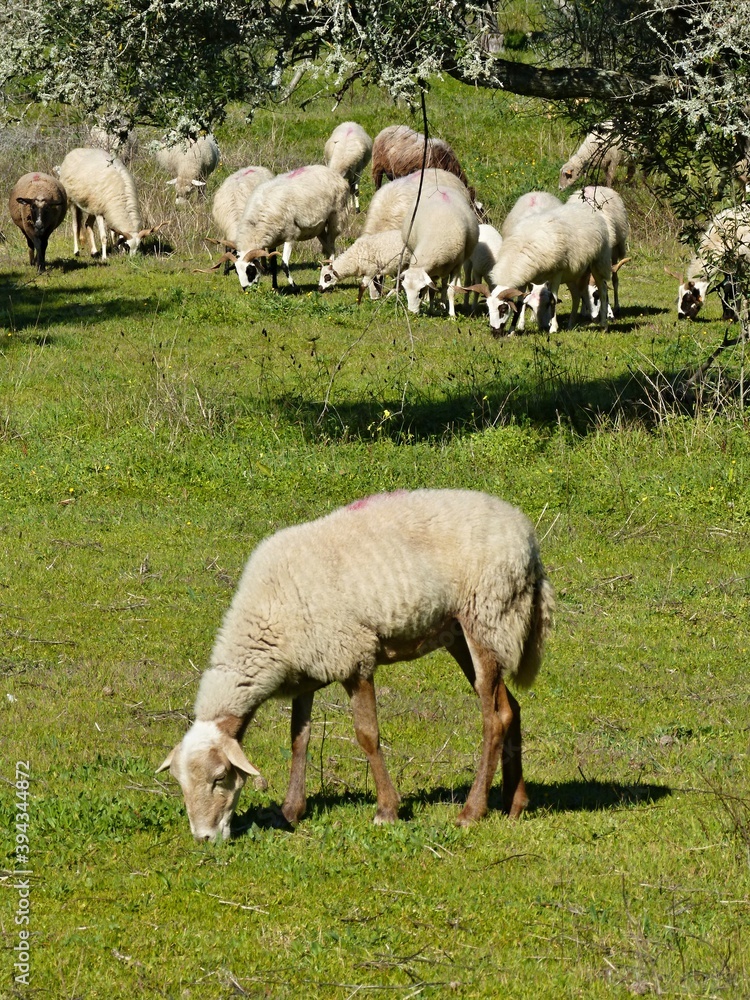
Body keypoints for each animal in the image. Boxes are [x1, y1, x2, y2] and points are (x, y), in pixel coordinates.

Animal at [156, 488, 555, 841]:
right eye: (180, 783)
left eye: (219, 777)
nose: (204, 838)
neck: (266, 620)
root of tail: (527, 535)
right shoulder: (307, 670)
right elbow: (299, 738)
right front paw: (291, 810)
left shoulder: (353, 657)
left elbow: (367, 735)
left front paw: (387, 810)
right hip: (463, 631)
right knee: (511, 708)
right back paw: (514, 803)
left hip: (488, 615)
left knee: (494, 718)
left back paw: (472, 811)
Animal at [399, 184, 480, 317]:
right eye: (405, 290)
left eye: (420, 292)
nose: (412, 313)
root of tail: (441, 186)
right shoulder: (433, 271)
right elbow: (432, 291)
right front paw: (431, 309)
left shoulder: (456, 266)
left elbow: (450, 291)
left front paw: (452, 315)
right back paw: (441, 305)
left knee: (445, 285)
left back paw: (443, 305)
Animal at [469, 201, 612, 335]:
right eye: (488, 308)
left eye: (503, 309)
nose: (495, 332)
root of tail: (588, 210)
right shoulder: (524, 279)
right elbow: (520, 304)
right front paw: (512, 331)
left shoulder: (557, 273)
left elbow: (553, 300)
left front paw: (553, 329)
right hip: (573, 273)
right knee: (577, 295)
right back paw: (571, 324)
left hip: (599, 262)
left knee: (603, 291)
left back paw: (604, 325)